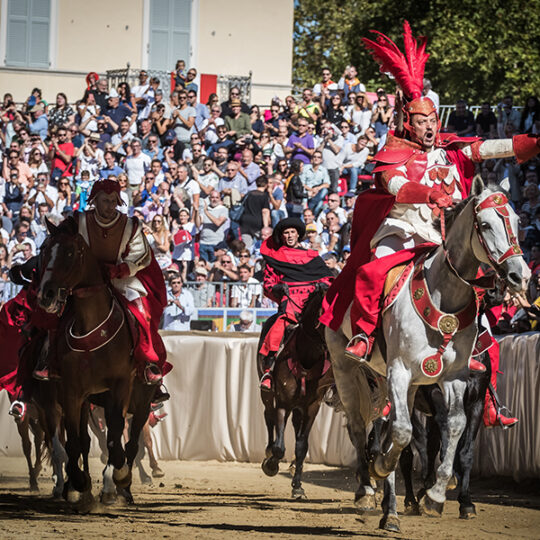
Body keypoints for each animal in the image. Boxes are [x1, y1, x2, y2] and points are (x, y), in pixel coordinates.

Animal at [37, 217, 155, 504]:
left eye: (70, 253)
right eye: (44, 251)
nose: (46, 294)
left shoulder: (120, 387)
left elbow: (116, 437)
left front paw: (118, 479)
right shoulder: (72, 391)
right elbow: (74, 441)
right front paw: (78, 483)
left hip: (142, 401)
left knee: (130, 441)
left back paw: (121, 487)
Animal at [258, 284, 334, 500]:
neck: (306, 357)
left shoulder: (312, 407)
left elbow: (302, 446)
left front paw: (298, 486)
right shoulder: (283, 403)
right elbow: (279, 447)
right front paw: (271, 464)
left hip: (299, 406)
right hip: (268, 396)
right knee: (269, 417)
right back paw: (268, 452)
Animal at [324, 178, 524, 536]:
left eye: (515, 221)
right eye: (486, 224)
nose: (519, 275)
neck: (444, 298)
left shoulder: (454, 380)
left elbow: (454, 433)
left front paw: (437, 495)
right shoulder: (400, 371)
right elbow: (402, 436)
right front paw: (383, 470)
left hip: (401, 385)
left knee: (392, 433)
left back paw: (391, 510)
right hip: (346, 369)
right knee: (362, 428)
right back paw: (367, 490)